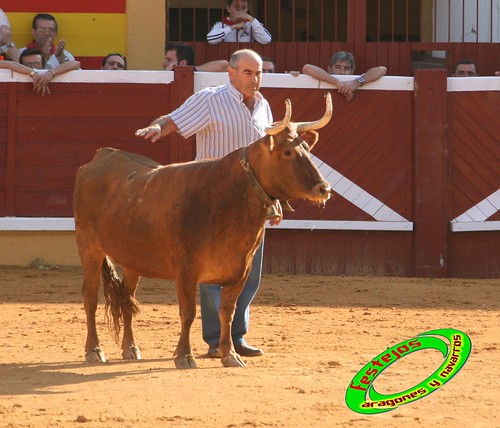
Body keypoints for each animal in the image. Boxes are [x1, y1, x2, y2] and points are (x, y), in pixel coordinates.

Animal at [73, 93, 332, 368]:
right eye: (287, 151)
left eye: (308, 150)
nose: (324, 188)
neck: (227, 197)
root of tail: (101, 155)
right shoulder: (186, 270)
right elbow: (188, 312)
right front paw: (184, 356)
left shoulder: (240, 272)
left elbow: (227, 313)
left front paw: (230, 354)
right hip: (88, 246)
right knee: (90, 297)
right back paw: (94, 350)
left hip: (132, 259)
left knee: (127, 298)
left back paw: (131, 348)